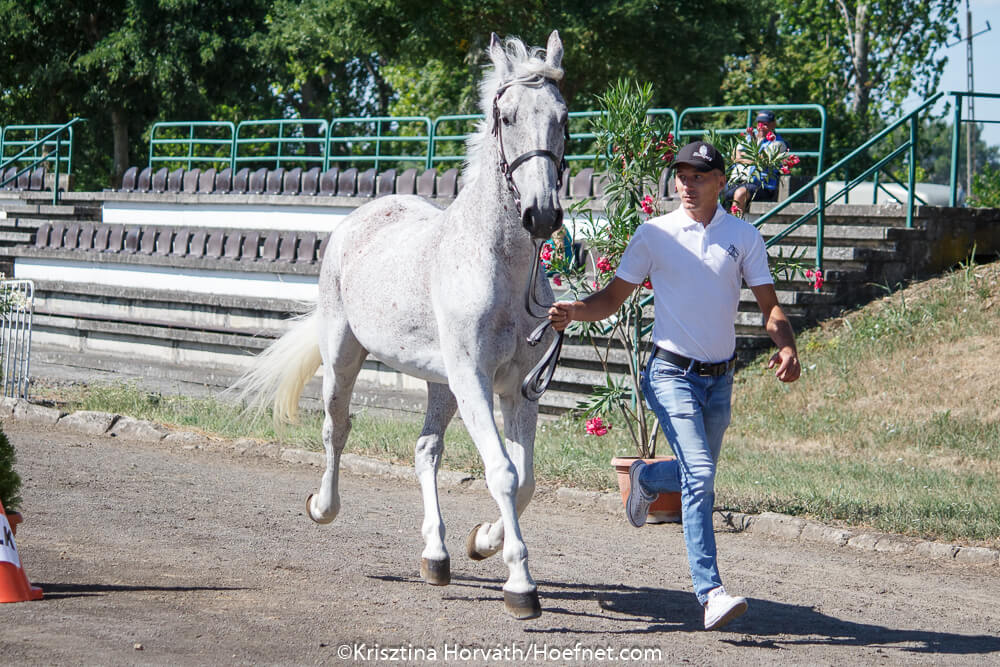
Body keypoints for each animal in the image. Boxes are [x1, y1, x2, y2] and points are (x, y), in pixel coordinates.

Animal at [231, 31, 567, 620]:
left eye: (564, 117)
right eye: (506, 117)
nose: (542, 214)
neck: (498, 266)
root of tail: (361, 217)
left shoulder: (519, 390)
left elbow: (524, 481)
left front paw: (483, 541)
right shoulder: (475, 380)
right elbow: (503, 473)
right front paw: (521, 586)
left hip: (441, 384)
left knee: (425, 451)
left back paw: (437, 557)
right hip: (345, 357)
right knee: (336, 428)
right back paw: (322, 507)